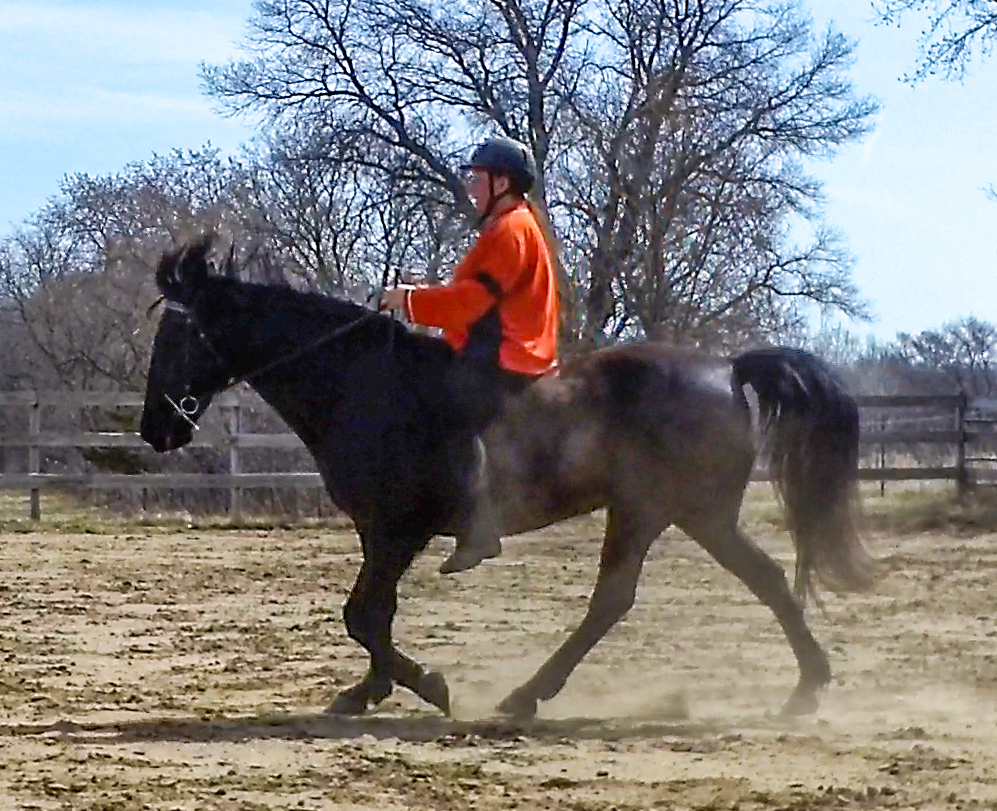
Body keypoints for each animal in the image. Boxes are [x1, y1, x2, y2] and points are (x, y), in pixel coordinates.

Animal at [139, 235, 875, 719]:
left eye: (176, 337)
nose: (156, 428)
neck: (363, 382)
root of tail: (727, 368)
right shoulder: (378, 531)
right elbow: (374, 613)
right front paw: (369, 690)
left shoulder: (400, 529)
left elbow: (363, 613)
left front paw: (427, 686)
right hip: (685, 513)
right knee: (745, 581)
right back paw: (804, 685)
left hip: (660, 510)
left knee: (630, 598)